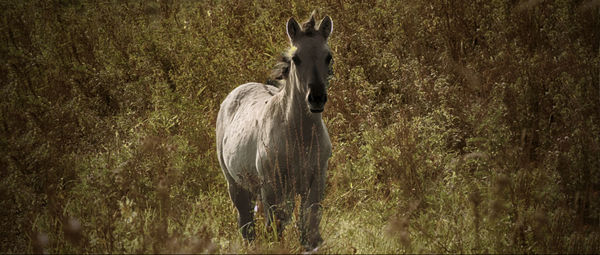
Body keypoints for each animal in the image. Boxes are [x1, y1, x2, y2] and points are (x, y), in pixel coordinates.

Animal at [216, 12, 336, 250]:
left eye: (328, 57)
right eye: (296, 58)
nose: (316, 98)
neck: (299, 136)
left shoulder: (316, 183)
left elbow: (309, 228)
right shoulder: (273, 189)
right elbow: (274, 230)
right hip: (236, 186)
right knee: (246, 225)